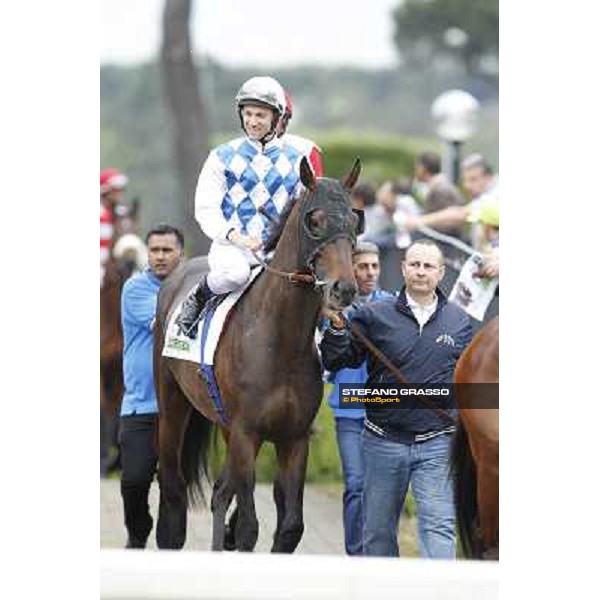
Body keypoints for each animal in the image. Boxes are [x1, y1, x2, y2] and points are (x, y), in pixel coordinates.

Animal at [154, 157, 360, 552]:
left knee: (220, 493)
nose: (345, 288)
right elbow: (249, 527)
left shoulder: (294, 438)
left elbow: (290, 526)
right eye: (314, 220)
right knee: (172, 486)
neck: (281, 342)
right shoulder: (247, 434)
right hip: (173, 404)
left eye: (355, 220)